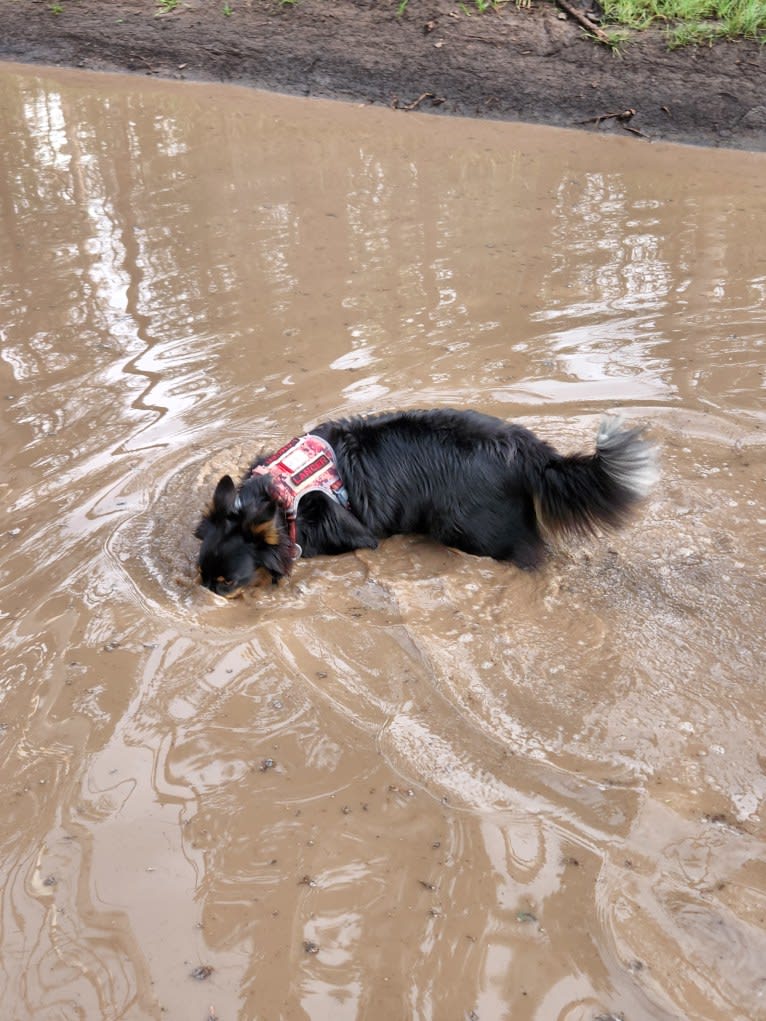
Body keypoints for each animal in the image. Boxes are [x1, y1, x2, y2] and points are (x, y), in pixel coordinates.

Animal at [195, 408, 657, 596]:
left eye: (227, 583)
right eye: (200, 576)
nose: (205, 604)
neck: (281, 494)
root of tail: (530, 453)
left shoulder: (352, 534)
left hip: (483, 535)